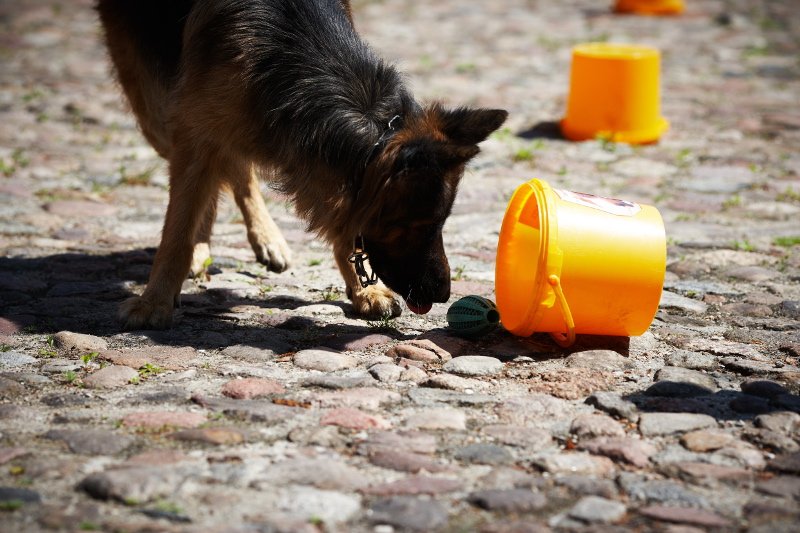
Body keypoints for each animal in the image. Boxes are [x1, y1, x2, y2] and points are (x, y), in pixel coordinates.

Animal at [95, 0, 506, 328]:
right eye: (425, 224)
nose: (445, 293)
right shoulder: (196, 131)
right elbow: (177, 231)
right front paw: (155, 302)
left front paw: (364, 292)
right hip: (160, 113)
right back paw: (205, 249)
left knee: (235, 169)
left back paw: (262, 239)